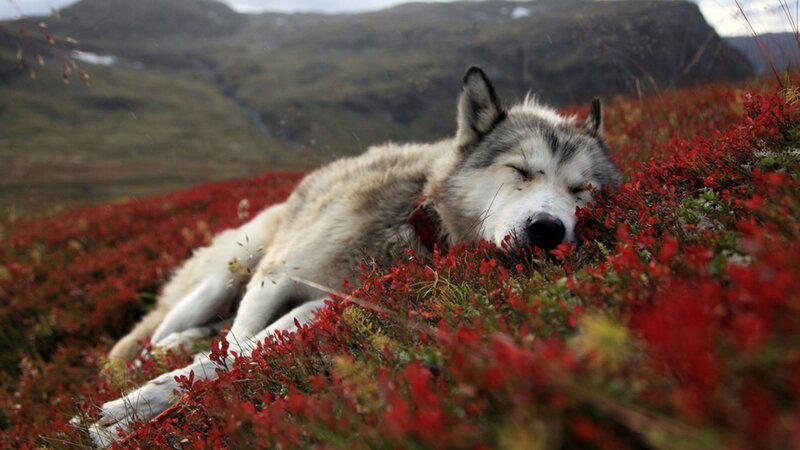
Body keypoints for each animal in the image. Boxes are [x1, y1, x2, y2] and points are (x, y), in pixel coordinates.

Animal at [82, 66, 620, 447]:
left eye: (581, 191)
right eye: (520, 171)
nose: (548, 230)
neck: (414, 221)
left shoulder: (326, 305)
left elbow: (238, 354)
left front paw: (134, 414)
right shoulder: (274, 279)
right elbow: (231, 347)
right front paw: (132, 409)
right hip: (228, 274)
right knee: (152, 336)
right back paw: (144, 357)